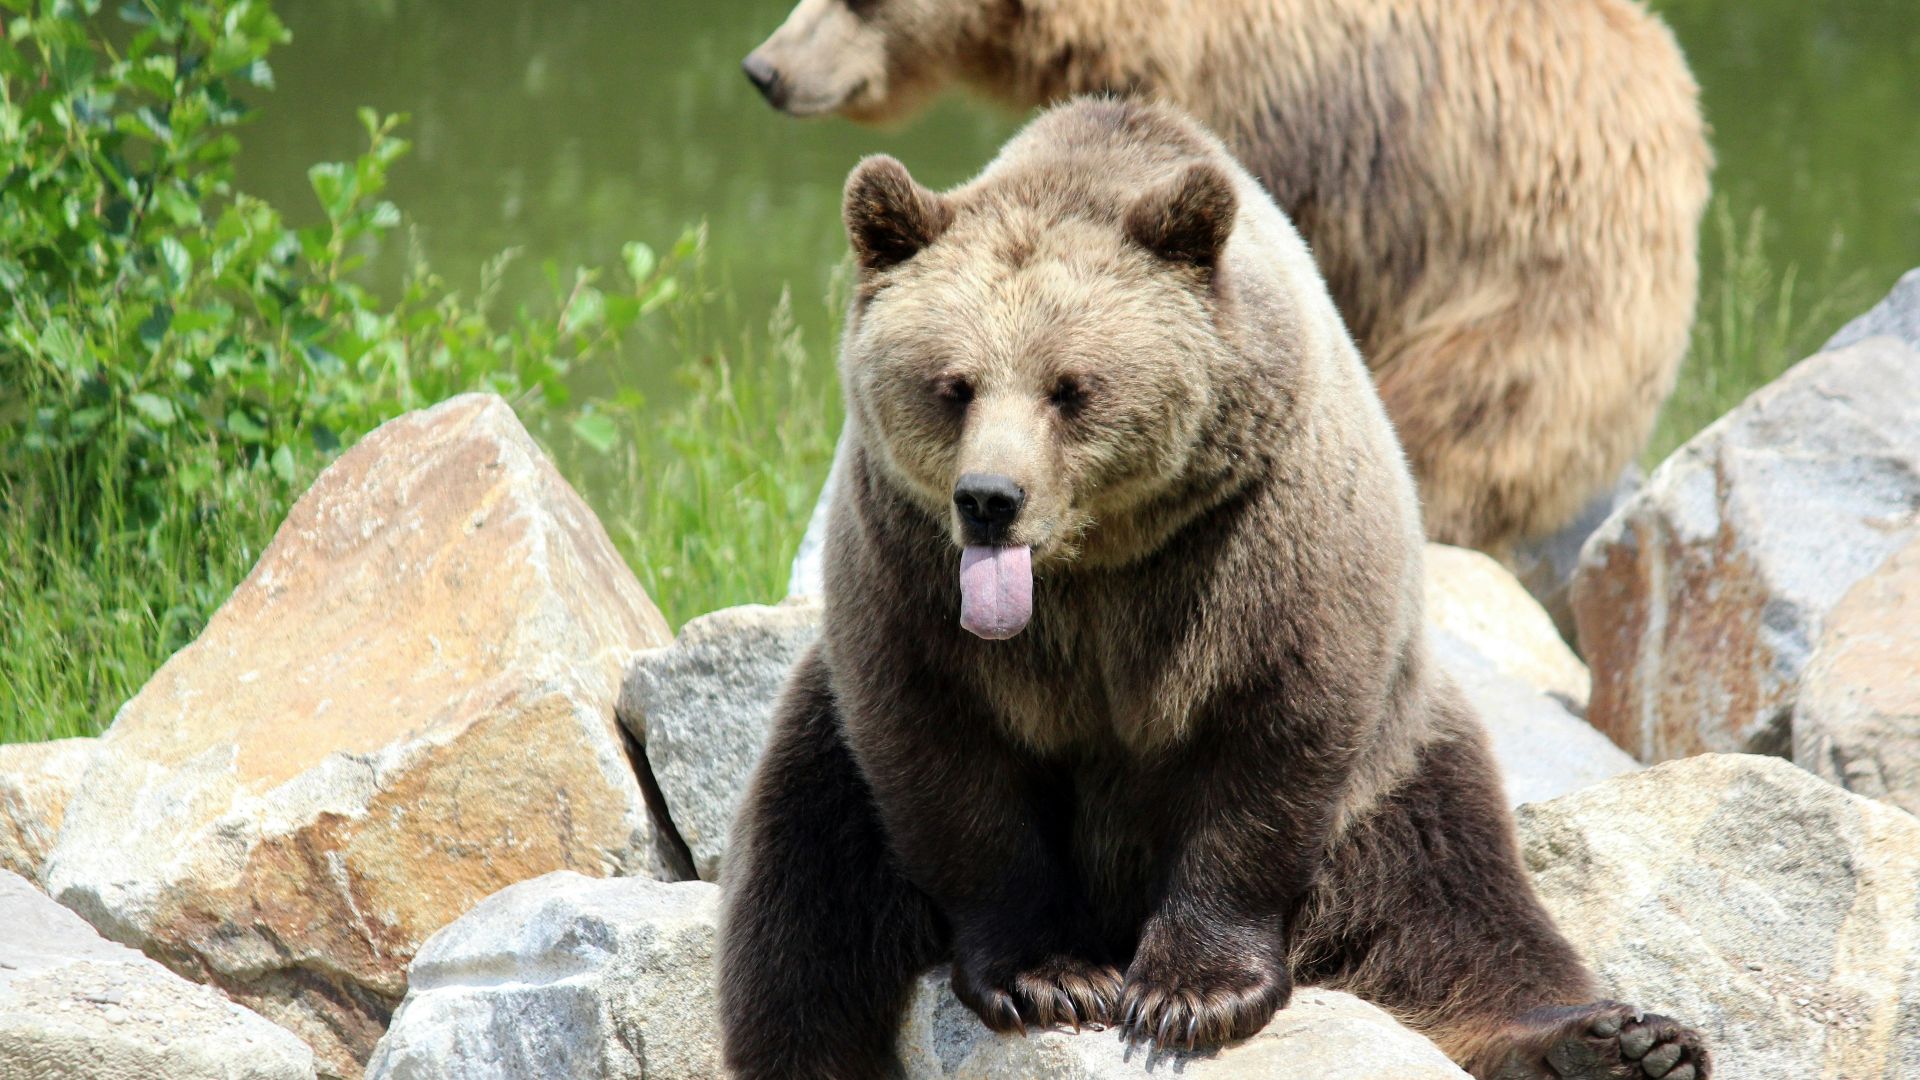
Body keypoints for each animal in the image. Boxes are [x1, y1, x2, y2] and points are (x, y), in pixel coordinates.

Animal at [717, 98, 1710, 1080]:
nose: (991, 500)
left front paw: (1189, 995)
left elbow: (1263, 748)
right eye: (953, 385)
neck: (1096, 559)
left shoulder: (1254, 547)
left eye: (1071, 387)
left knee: (1457, 901)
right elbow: (950, 763)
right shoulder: (910, 573)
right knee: (805, 904)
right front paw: (1053, 977)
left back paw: (1621, 1039)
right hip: (825, 736)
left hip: (1399, 760)